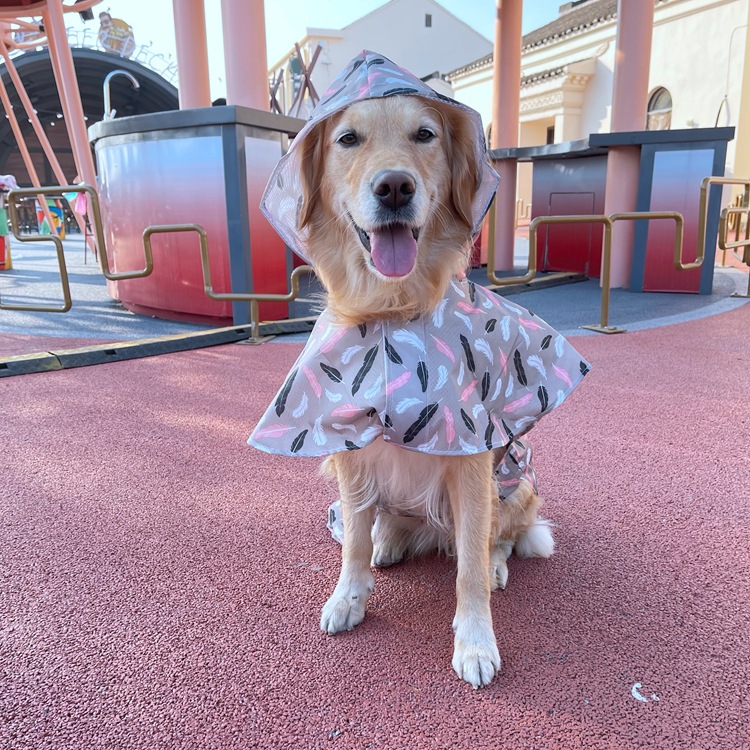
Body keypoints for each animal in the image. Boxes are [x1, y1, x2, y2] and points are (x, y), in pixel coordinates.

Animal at [249, 52, 589, 689]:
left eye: (425, 135)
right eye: (348, 139)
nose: (394, 186)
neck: (391, 315)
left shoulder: (472, 458)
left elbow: (469, 571)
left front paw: (476, 642)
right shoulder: (347, 443)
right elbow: (351, 545)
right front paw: (349, 596)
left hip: (517, 483)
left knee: (494, 542)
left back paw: (495, 563)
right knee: (379, 528)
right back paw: (390, 539)